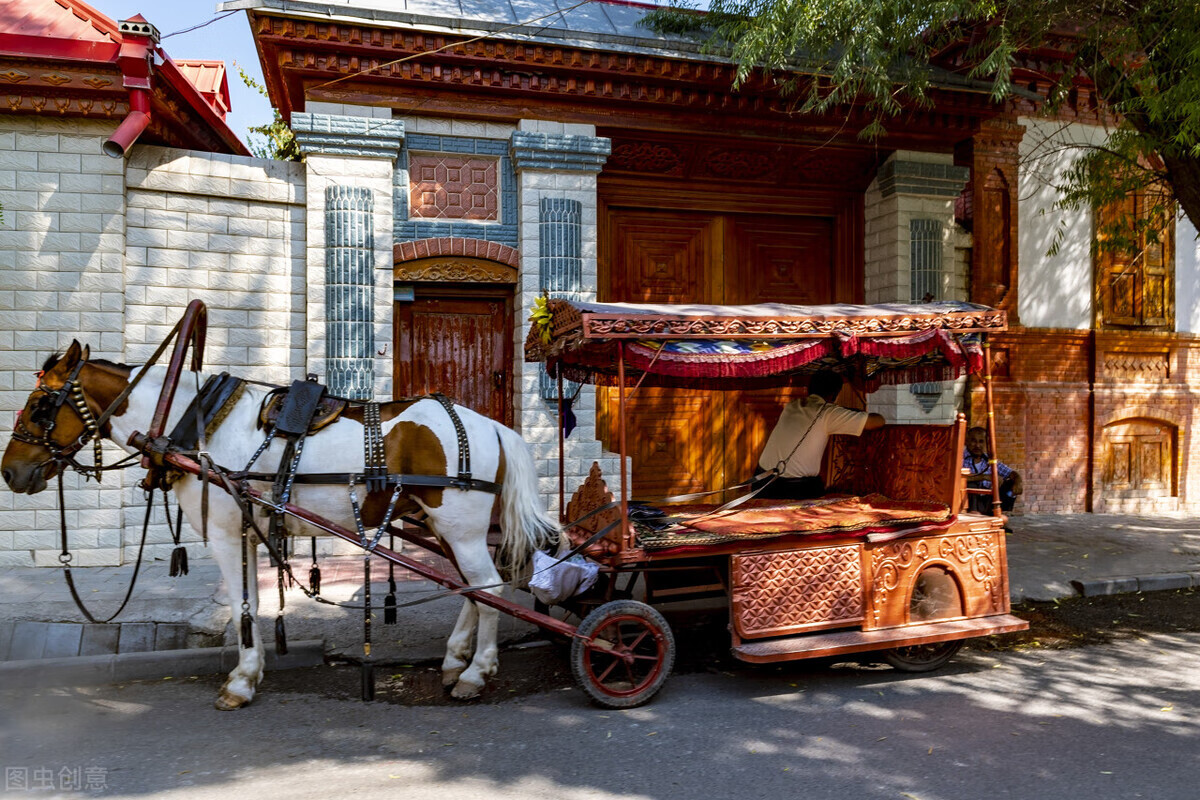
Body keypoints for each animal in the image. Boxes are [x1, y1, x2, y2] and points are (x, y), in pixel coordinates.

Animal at [1, 340, 561, 710]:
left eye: (41, 405)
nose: (10, 472)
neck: (196, 423)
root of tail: (492, 425)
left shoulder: (223, 535)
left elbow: (243, 605)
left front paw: (241, 682)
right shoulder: (244, 532)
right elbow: (250, 601)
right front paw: (251, 672)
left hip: (459, 527)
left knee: (488, 588)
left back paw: (477, 672)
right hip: (445, 527)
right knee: (473, 589)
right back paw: (453, 661)